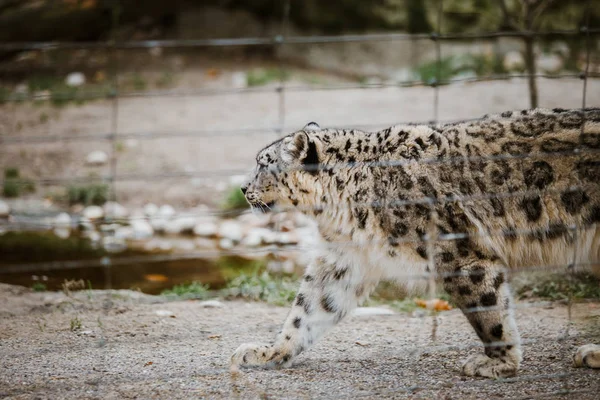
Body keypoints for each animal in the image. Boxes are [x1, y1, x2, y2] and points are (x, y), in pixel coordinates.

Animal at [231, 108, 600, 378]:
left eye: (263, 164)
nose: (243, 188)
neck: (343, 211)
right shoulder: (344, 257)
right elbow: (308, 309)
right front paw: (269, 353)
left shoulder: (461, 254)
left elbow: (488, 311)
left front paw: (499, 362)